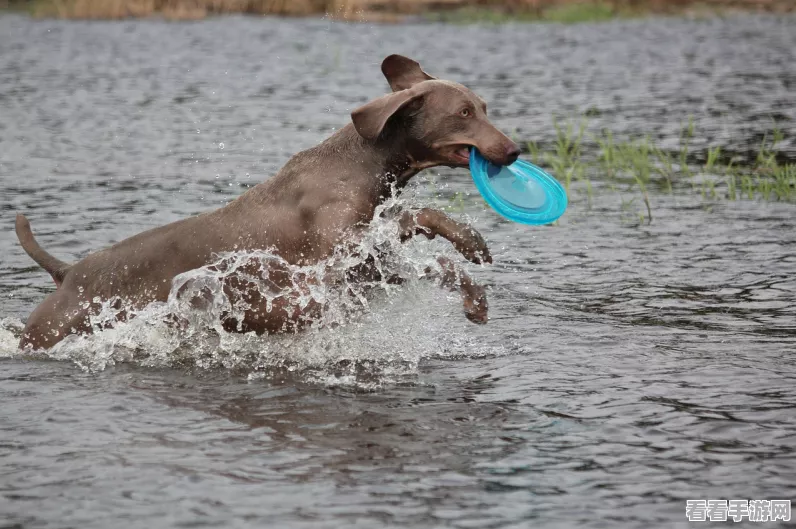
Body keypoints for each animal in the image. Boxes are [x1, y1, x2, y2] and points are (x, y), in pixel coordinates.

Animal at [17, 54, 524, 350]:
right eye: (464, 113)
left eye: (485, 107)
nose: (516, 150)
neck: (363, 162)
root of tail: (67, 273)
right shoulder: (332, 270)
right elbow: (426, 240)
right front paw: (472, 269)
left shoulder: (367, 250)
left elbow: (424, 234)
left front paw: (472, 255)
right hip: (52, 329)